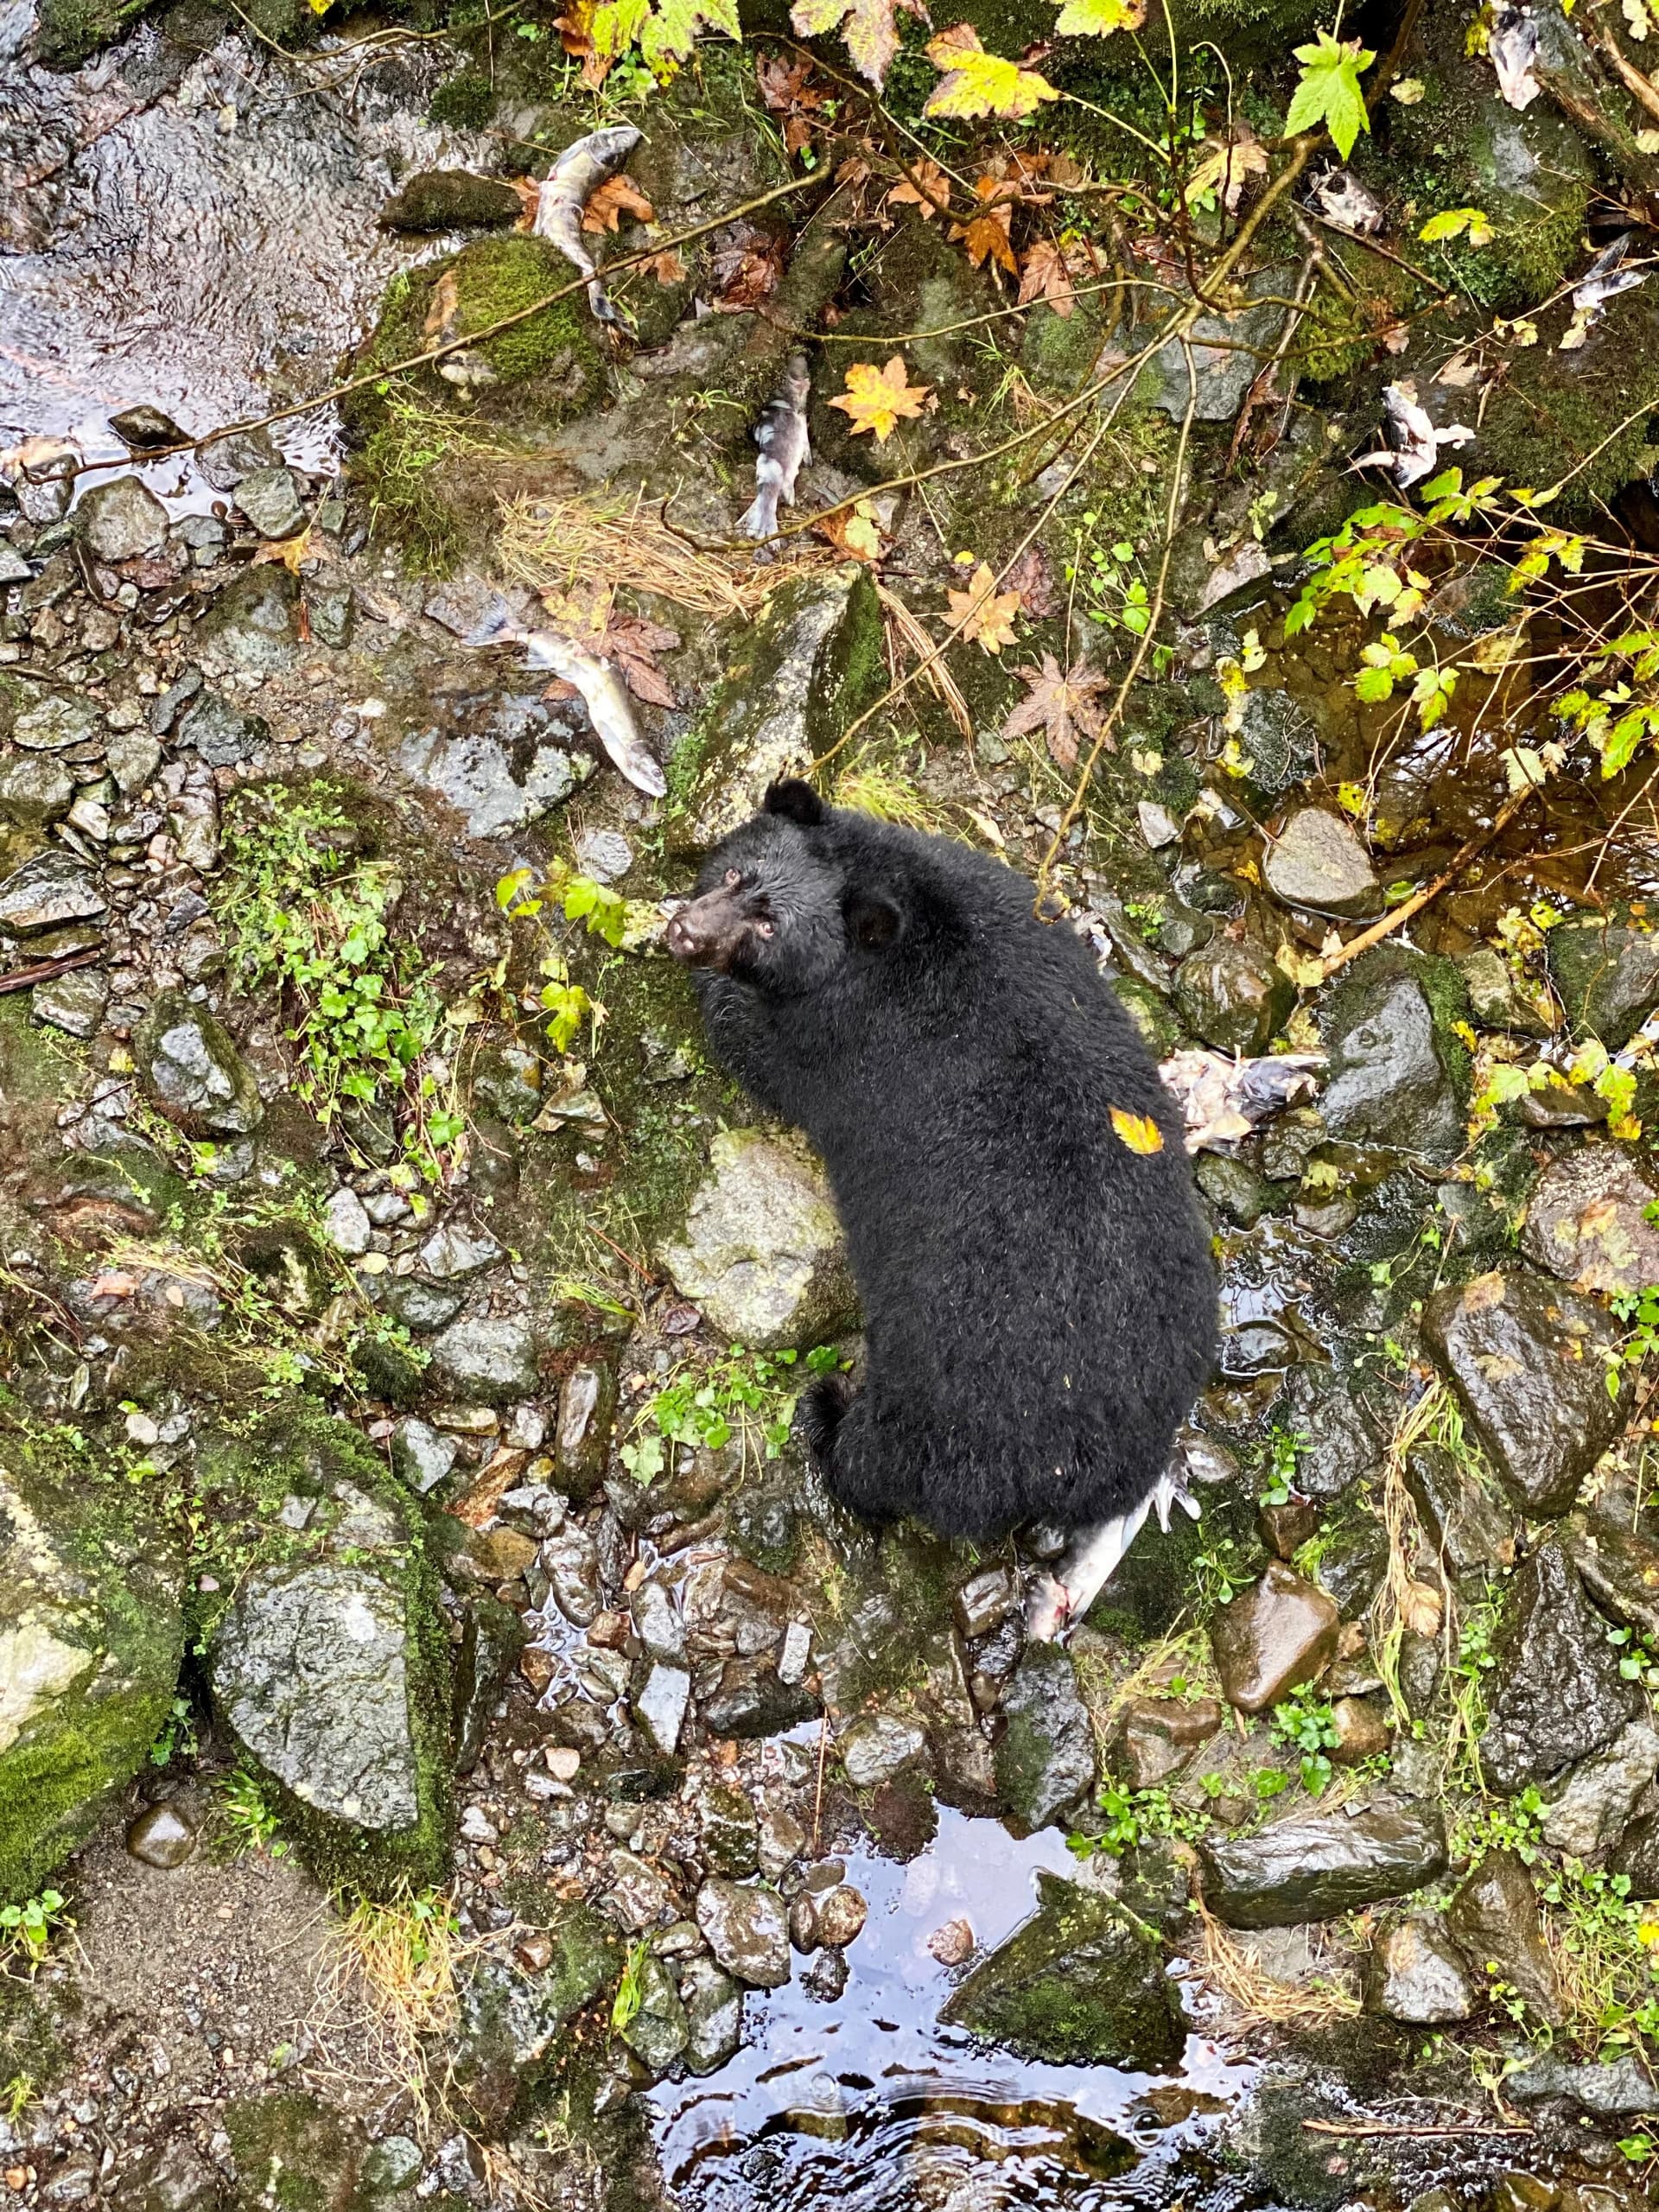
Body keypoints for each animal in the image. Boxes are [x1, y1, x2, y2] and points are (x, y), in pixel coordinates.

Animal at [666, 780, 1218, 1546]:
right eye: (734, 875)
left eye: (771, 928)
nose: (684, 934)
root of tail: (1078, 1476)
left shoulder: (833, 1041)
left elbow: (759, 1050)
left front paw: (717, 994)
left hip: (936, 1410)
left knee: (880, 1466)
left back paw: (827, 1418)